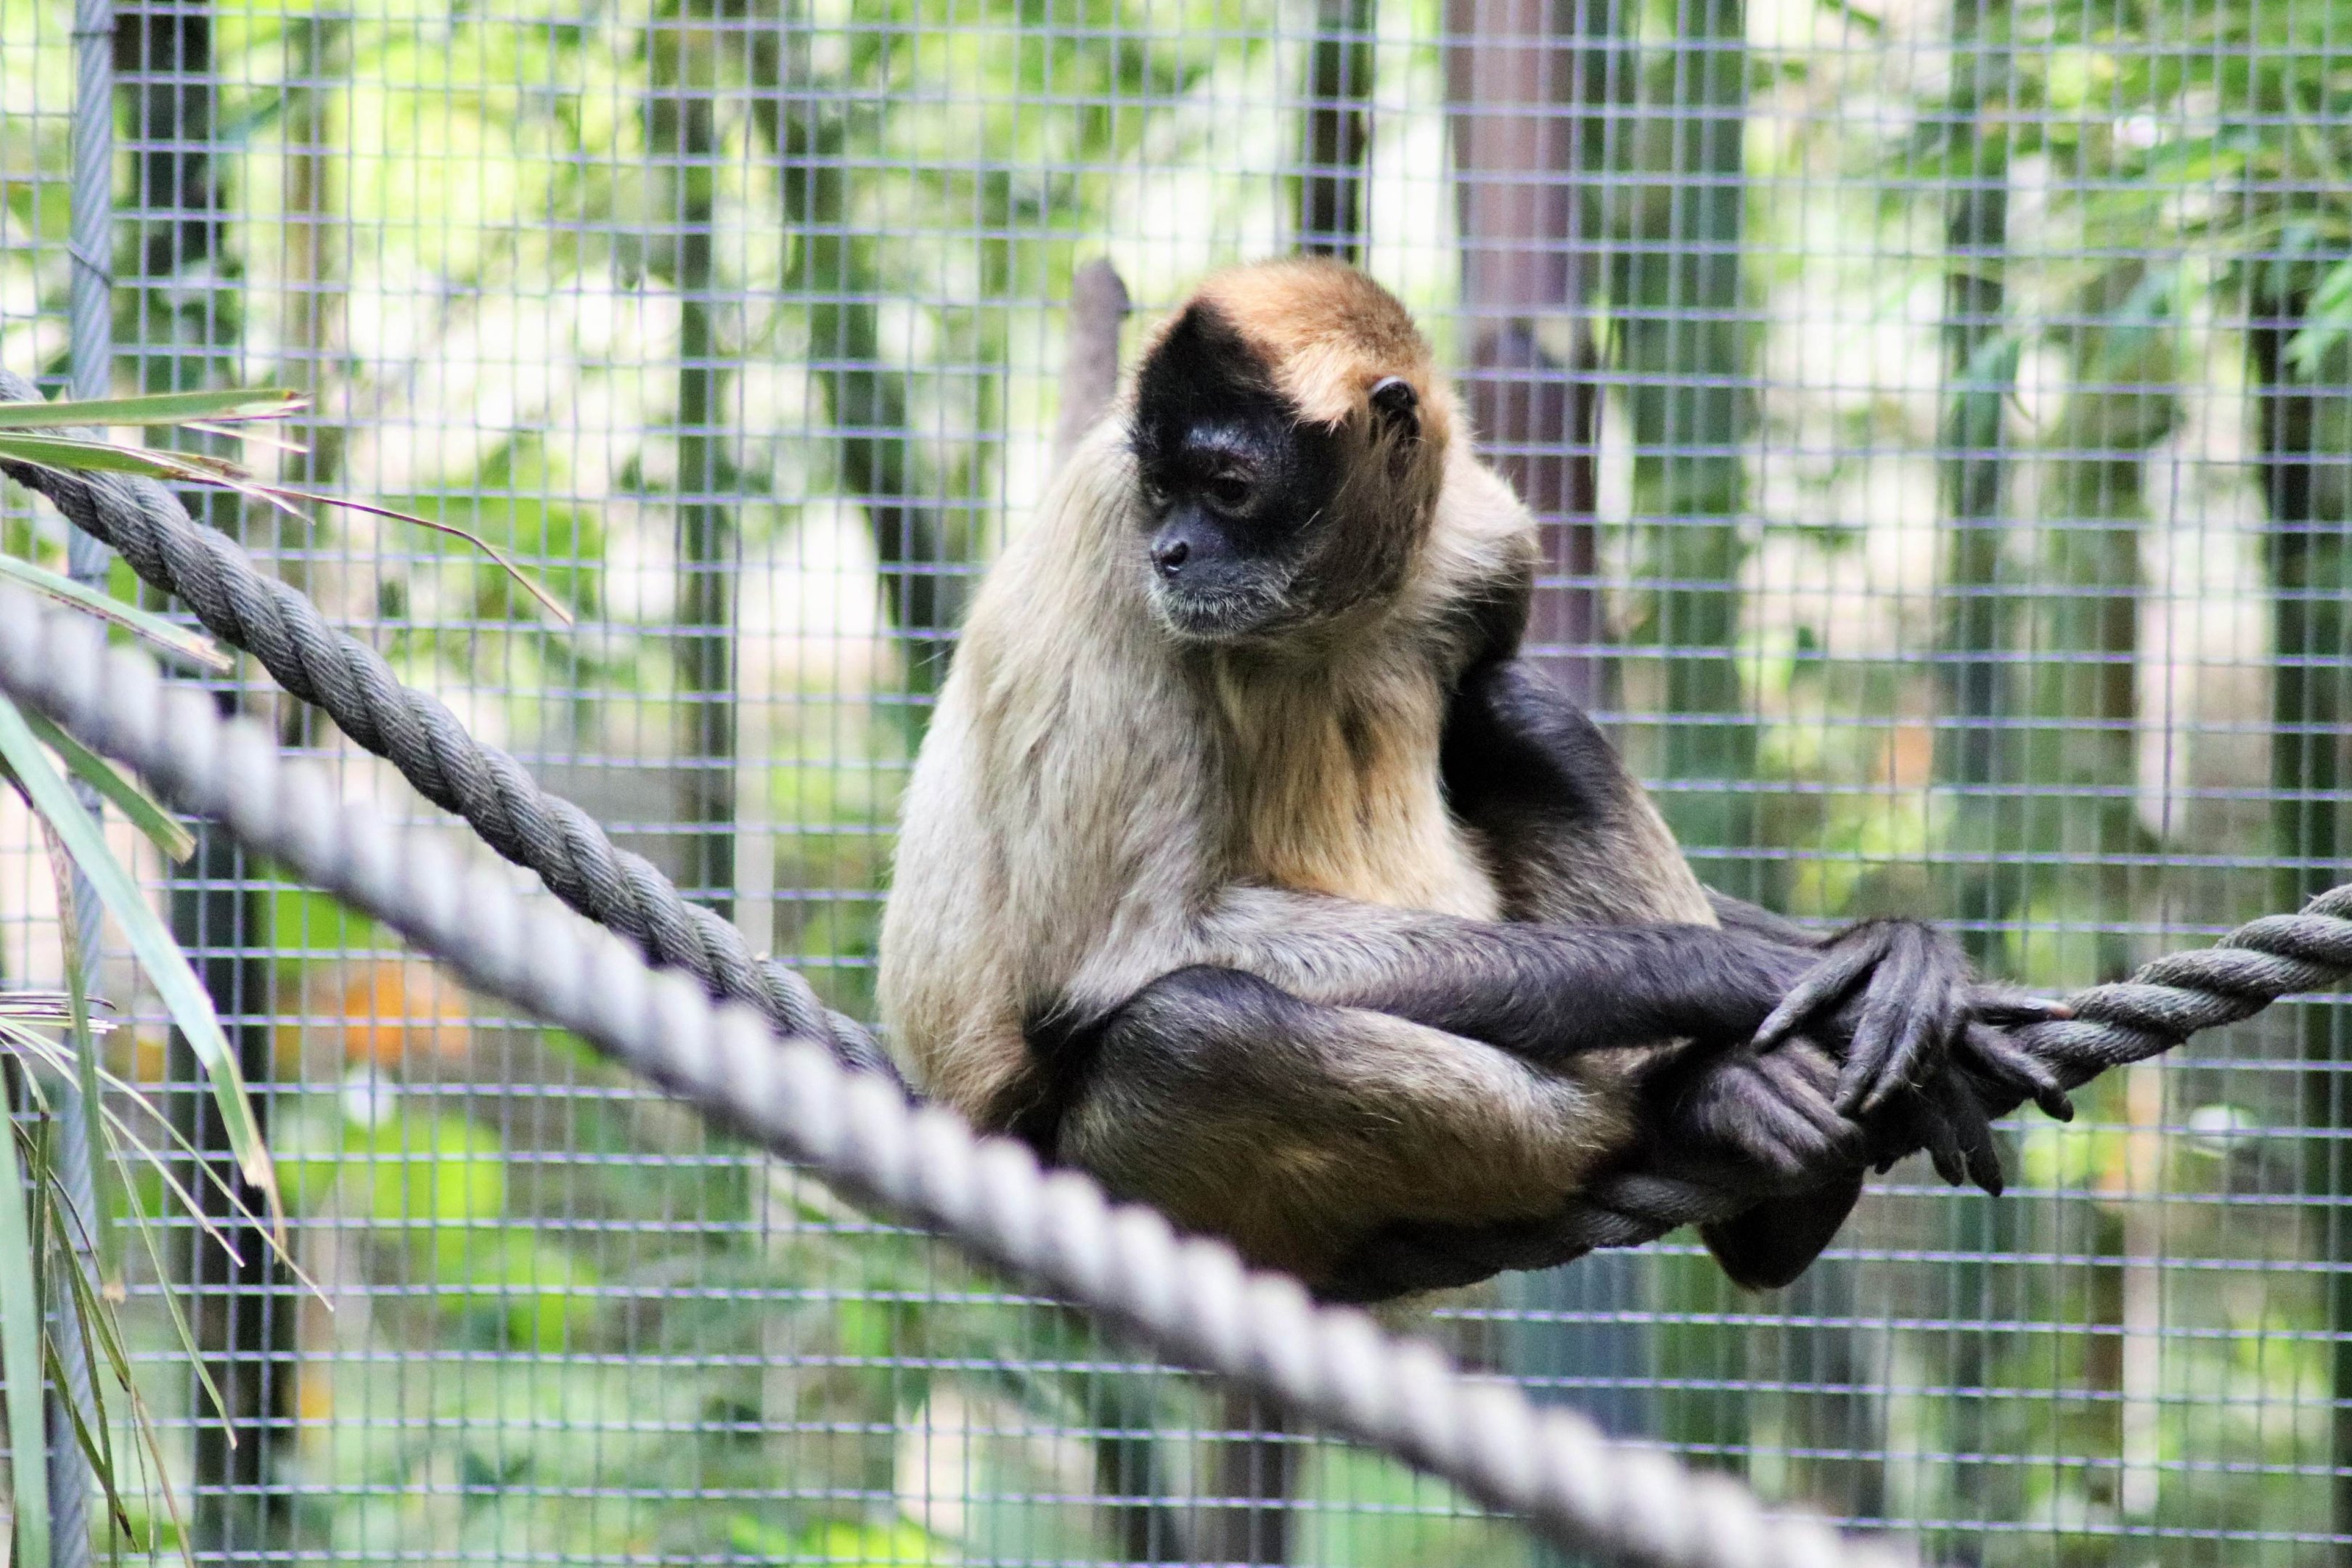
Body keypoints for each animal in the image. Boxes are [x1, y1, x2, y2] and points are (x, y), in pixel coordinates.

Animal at [878, 256, 2061, 1297]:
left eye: (1227, 487)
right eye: (1163, 491)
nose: (1172, 551)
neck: (1328, 610)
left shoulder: (1488, 540)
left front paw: (1886, 953)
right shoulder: (1106, 536)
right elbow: (1118, 955)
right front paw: (1745, 977)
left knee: (1516, 710)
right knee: (1193, 1034)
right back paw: (1685, 1102)